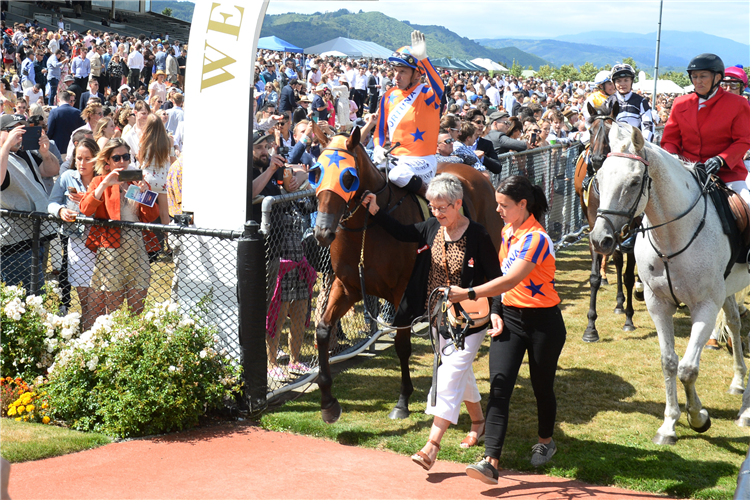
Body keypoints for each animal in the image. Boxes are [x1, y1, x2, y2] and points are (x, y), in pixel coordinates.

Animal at [312, 127, 506, 424]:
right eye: (316, 172)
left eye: (347, 177)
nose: (322, 232)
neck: (368, 229)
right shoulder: (347, 286)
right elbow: (322, 330)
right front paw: (328, 403)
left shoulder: (400, 291)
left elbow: (402, 344)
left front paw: (403, 400)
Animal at [592, 123, 750, 444]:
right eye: (599, 178)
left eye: (634, 181)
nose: (600, 239)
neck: (673, 235)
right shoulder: (658, 304)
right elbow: (669, 362)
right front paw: (669, 424)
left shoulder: (704, 305)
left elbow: (688, 369)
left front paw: (698, 417)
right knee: (734, 324)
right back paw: (738, 383)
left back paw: (746, 412)